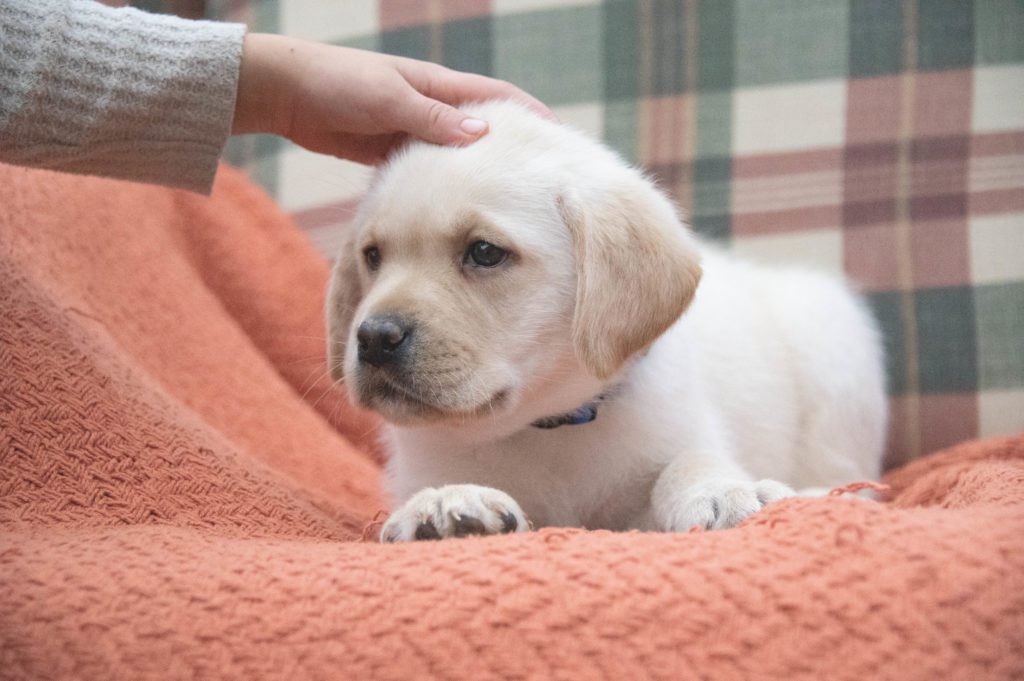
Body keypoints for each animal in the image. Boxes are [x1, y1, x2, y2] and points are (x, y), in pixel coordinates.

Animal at [327, 99, 888, 540]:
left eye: (484, 252)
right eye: (372, 257)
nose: (373, 338)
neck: (549, 426)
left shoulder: (671, 448)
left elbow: (688, 462)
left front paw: (728, 490)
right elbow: (437, 483)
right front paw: (442, 502)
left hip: (836, 354)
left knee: (850, 471)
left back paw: (829, 493)